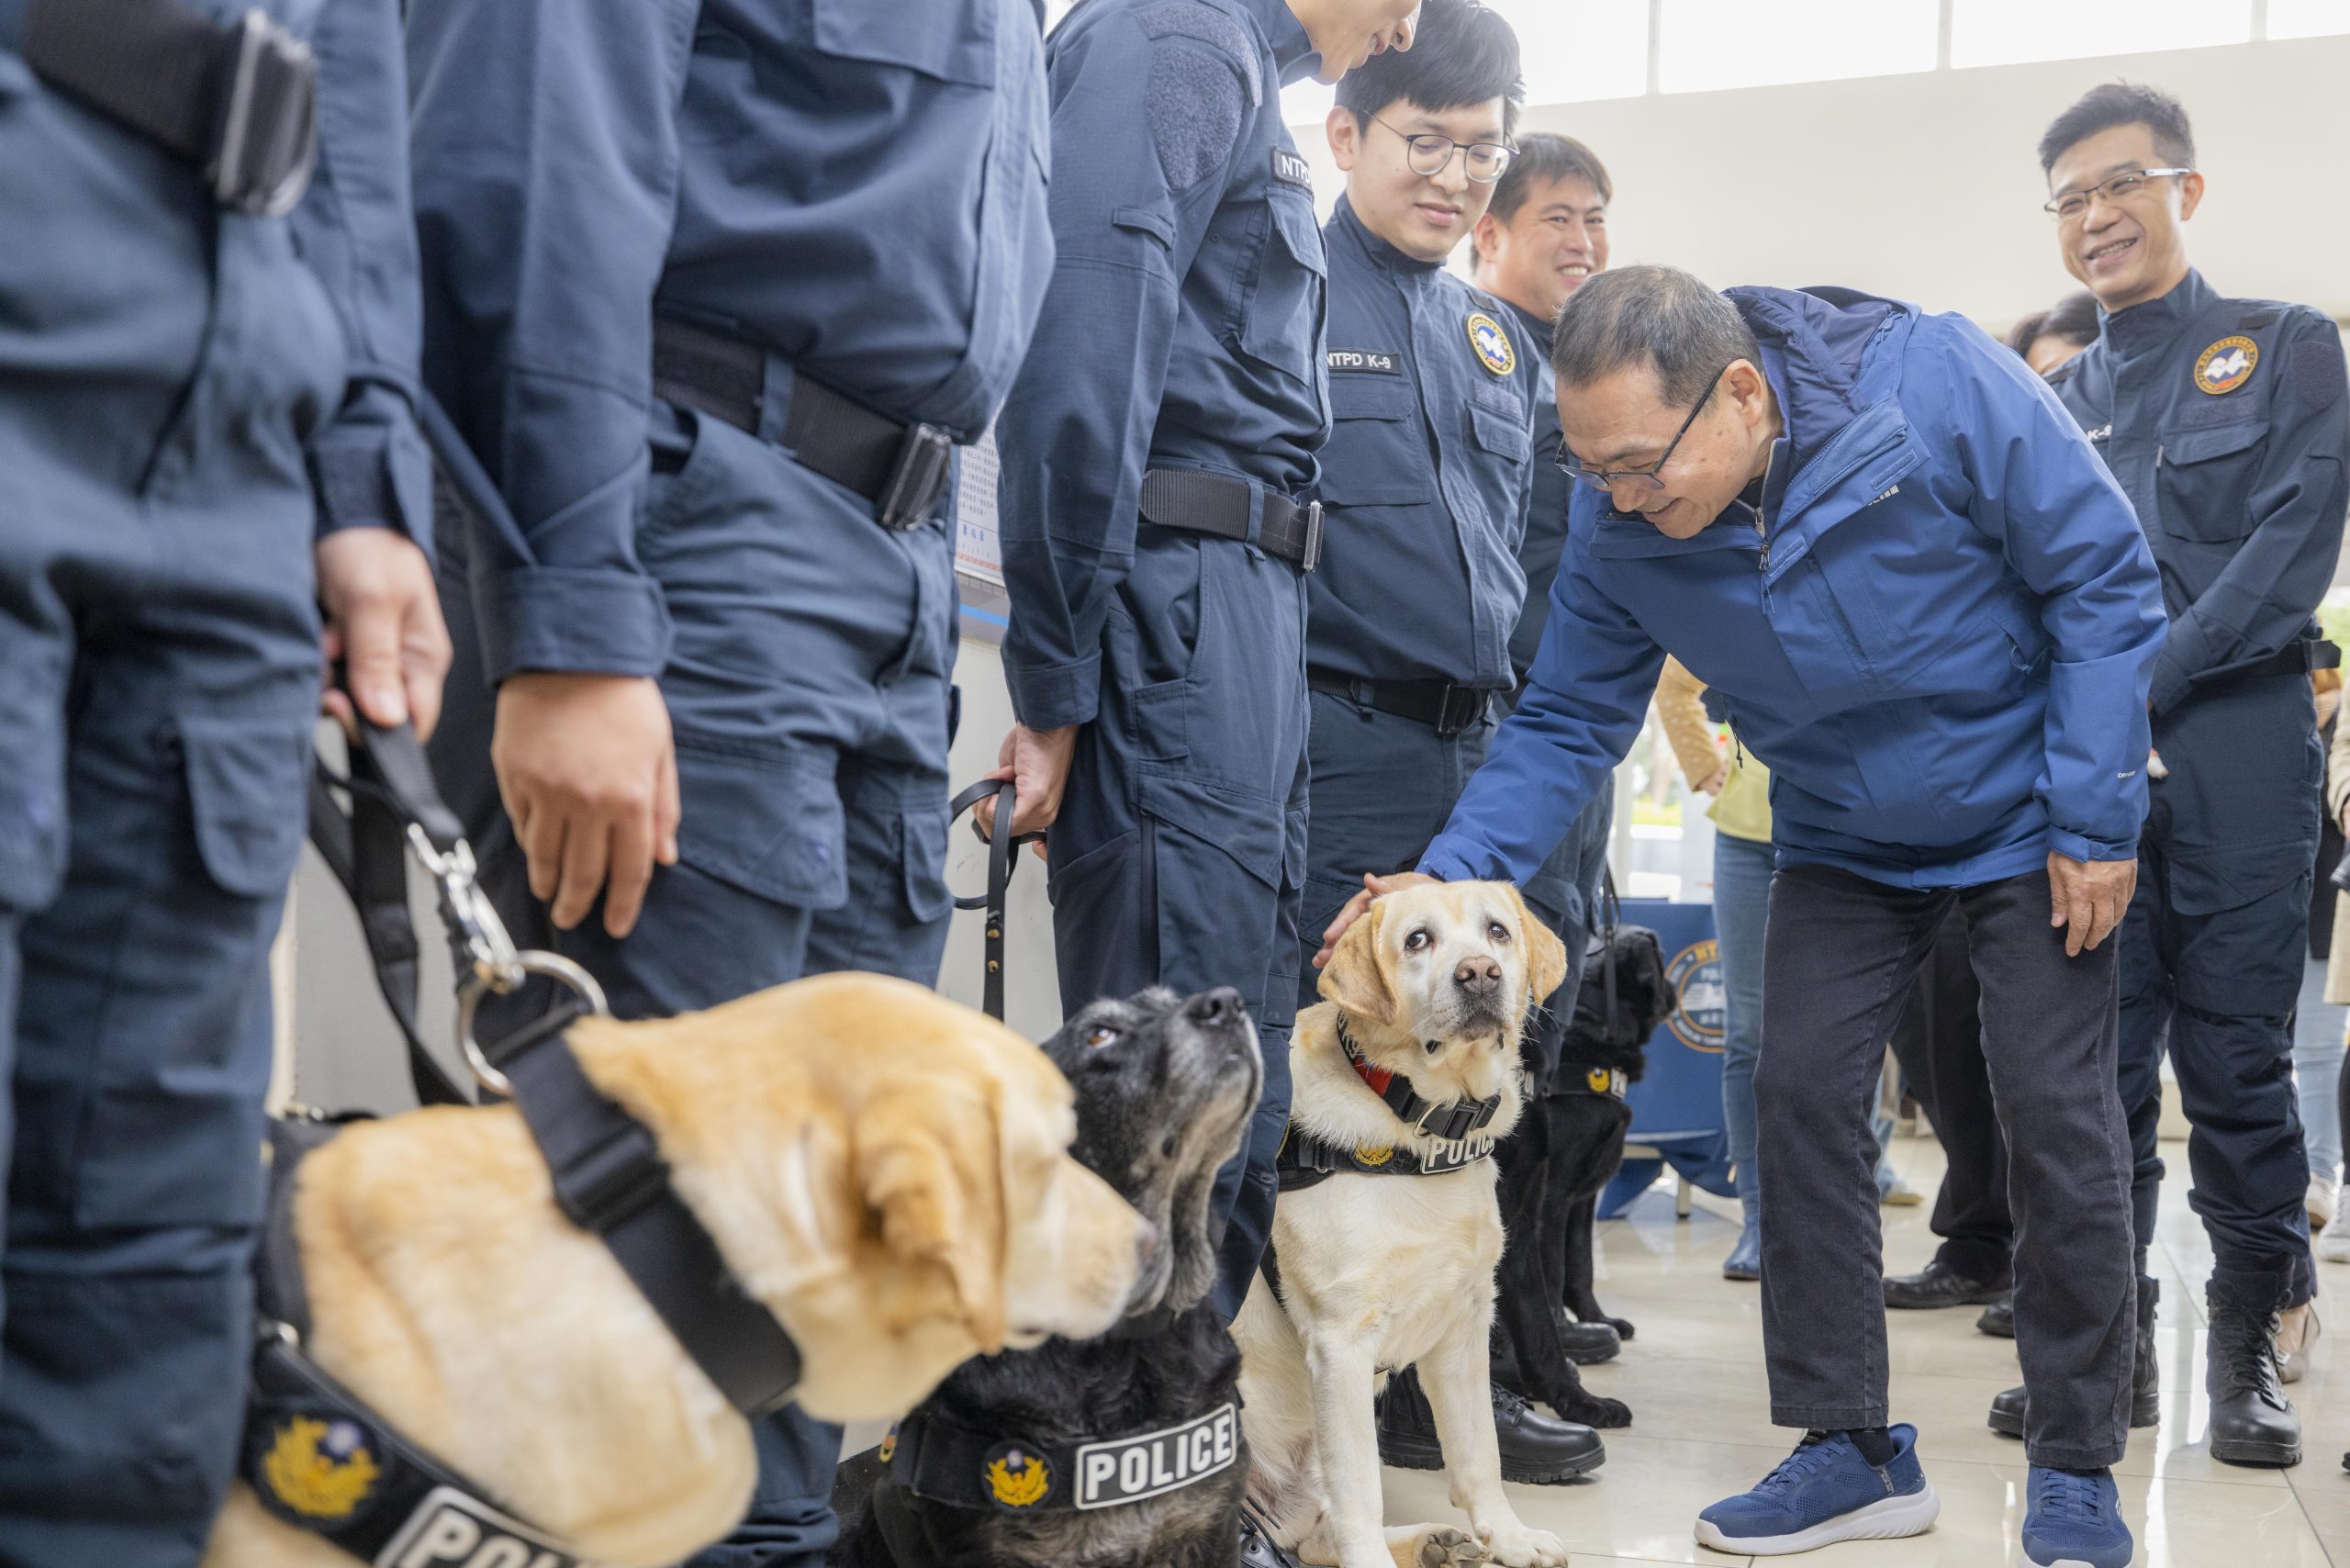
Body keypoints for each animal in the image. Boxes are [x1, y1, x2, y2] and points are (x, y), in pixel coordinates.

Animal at [1231, 883, 1579, 1568]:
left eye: (1497, 932)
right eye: (1418, 939)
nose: (1480, 974)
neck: (1421, 1130)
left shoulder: (1465, 1322)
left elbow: (1478, 1453)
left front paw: (1509, 1536)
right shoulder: (1340, 1344)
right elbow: (1361, 1489)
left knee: (1314, 1537)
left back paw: (1435, 1544)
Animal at [1484, 925, 1673, 1428]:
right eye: (1663, 962)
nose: (1671, 989)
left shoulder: (1563, 1202)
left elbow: (1577, 1270)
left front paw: (1595, 1327)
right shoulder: (1551, 1201)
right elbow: (1554, 1280)